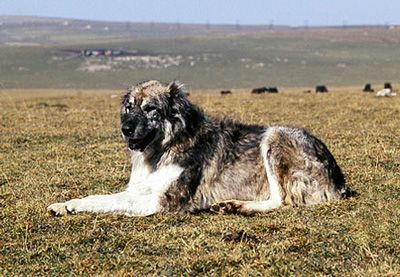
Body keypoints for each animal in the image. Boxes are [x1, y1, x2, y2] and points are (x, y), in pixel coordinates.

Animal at [48, 79, 352, 216]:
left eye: (150, 109)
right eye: (129, 107)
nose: (125, 129)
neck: (163, 149)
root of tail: (339, 182)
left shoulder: (163, 201)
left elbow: (113, 202)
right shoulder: (140, 189)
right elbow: (100, 197)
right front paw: (66, 204)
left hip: (274, 136)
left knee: (282, 200)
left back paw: (238, 206)